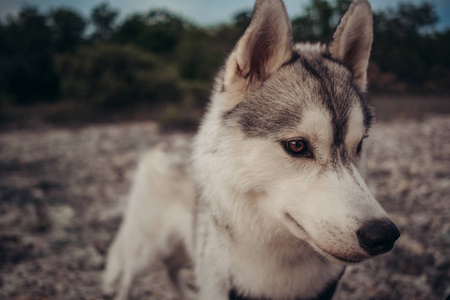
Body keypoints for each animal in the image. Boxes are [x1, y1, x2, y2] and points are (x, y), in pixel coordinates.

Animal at [103, 0, 400, 298]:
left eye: (359, 145)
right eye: (297, 146)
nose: (383, 235)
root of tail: (160, 147)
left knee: (171, 268)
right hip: (146, 250)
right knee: (128, 277)